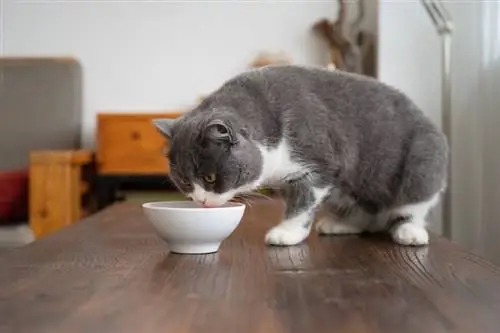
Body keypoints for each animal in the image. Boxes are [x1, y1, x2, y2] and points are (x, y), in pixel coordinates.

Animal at [153, 65, 450, 246]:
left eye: (210, 178)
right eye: (184, 181)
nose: (201, 201)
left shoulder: (316, 163)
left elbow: (303, 202)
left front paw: (286, 233)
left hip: (422, 163)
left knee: (413, 204)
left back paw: (410, 232)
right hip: (350, 190)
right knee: (363, 209)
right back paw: (342, 224)